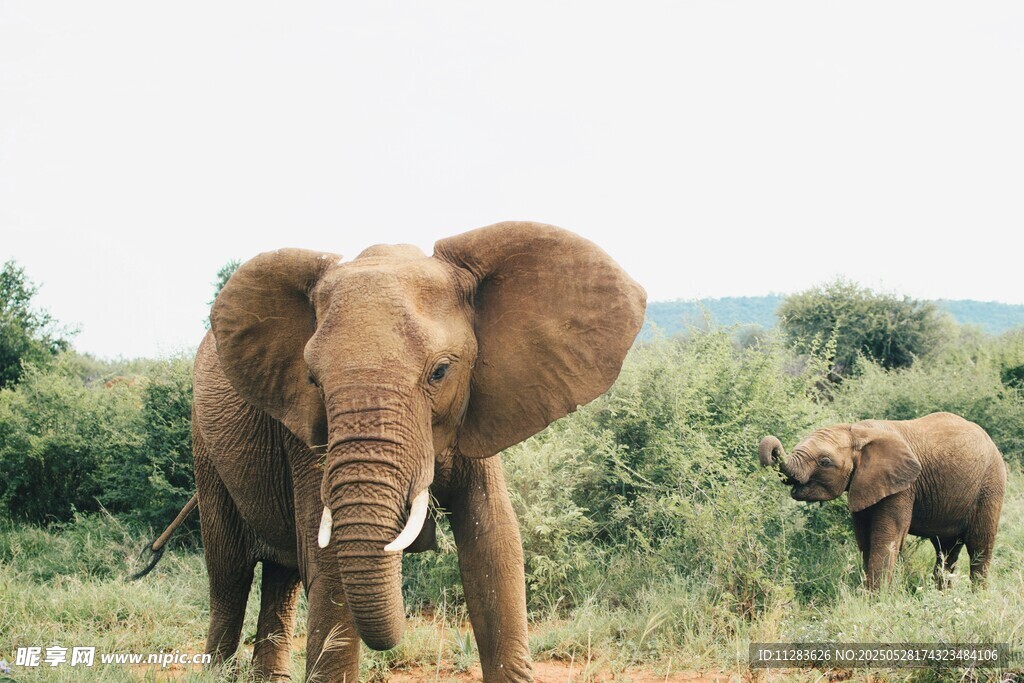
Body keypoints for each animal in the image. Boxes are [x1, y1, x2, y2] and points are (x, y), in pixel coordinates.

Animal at [190, 222, 645, 681]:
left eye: (440, 372)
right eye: (313, 380)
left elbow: (493, 542)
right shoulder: (305, 430)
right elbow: (328, 562)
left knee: (280, 574)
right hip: (204, 449)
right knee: (229, 572)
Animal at [759, 412, 1005, 590]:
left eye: (825, 462)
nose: (773, 448)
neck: (858, 432)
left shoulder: (903, 487)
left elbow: (886, 537)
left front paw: (875, 600)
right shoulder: (863, 482)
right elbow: (865, 538)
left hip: (989, 486)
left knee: (979, 547)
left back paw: (976, 599)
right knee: (946, 550)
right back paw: (942, 597)